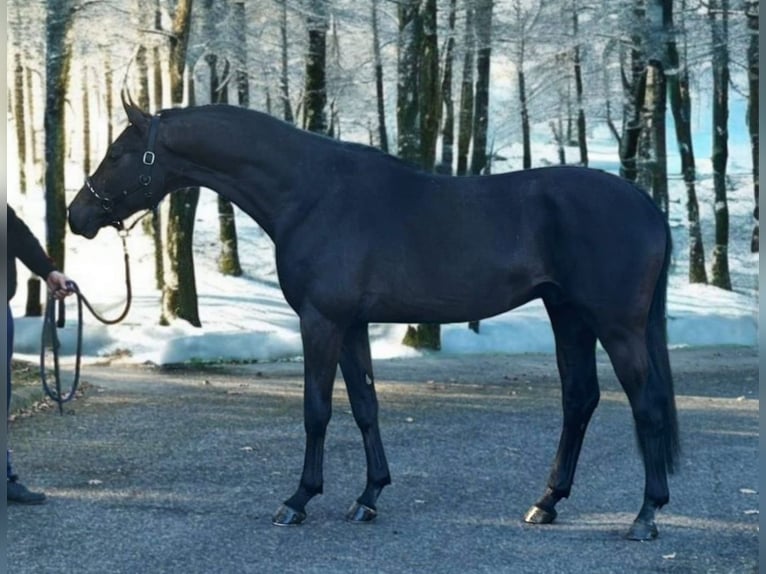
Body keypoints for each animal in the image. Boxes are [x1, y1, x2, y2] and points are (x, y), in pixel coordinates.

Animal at [67, 99, 680, 540]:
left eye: (118, 152)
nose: (78, 214)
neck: (311, 194)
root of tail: (645, 205)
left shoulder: (320, 322)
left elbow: (317, 410)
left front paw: (298, 500)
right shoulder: (352, 325)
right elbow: (365, 406)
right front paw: (369, 497)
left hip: (616, 326)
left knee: (644, 403)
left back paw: (645, 516)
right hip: (567, 315)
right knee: (579, 399)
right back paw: (546, 504)